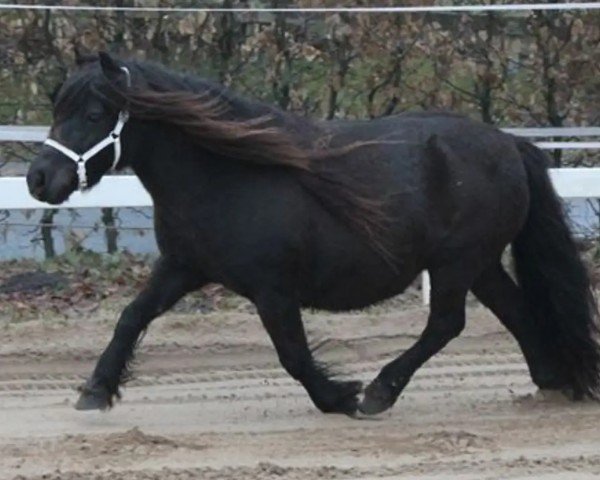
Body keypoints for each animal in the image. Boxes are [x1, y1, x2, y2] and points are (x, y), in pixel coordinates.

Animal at [27, 51, 600, 412]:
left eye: (95, 112)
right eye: (57, 106)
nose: (38, 179)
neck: (228, 174)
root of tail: (509, 144)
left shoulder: (272, 290)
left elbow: (294, 355)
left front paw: (339, 397)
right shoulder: (182, 267)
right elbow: (130, 318)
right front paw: (96, 392)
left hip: (457, 262)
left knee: (446, 323)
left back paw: (380, 392)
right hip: (477, 263)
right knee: (514, 311)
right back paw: (553, 382)